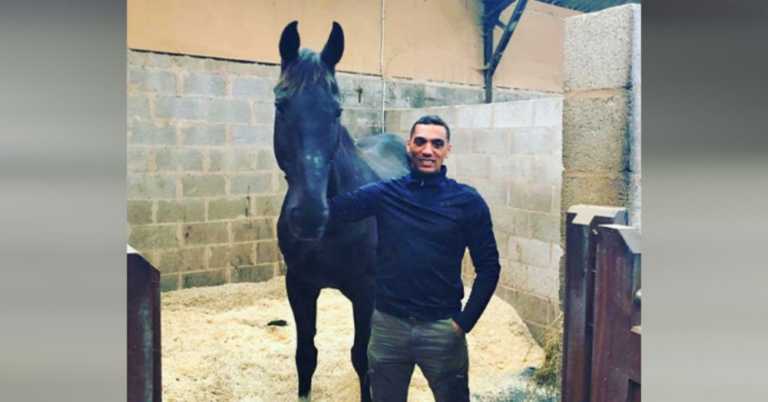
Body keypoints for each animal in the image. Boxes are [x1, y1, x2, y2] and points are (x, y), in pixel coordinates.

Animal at [273, 20, 409, 402]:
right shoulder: (299, 285)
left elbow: (363, 358)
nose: (308, 216)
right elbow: (306, 355)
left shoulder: (365, 291)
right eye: (280, 105)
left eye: (336, 110)